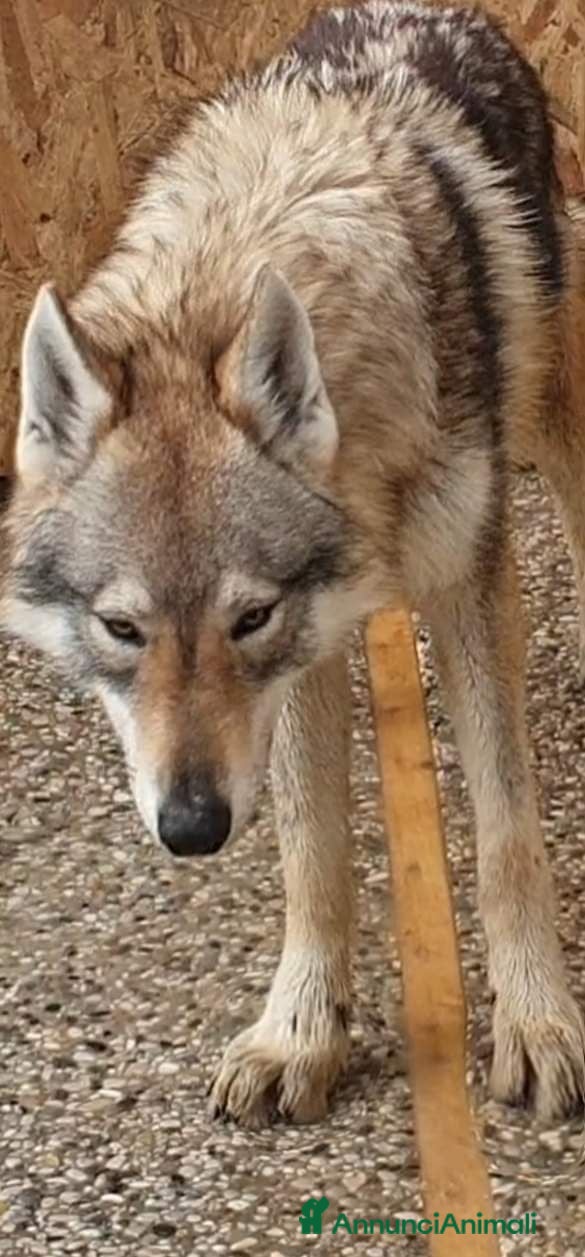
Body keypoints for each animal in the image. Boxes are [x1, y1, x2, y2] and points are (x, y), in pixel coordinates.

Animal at [3, 0, 585, 1127]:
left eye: (246, 619)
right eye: (121, 629)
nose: (190, 827)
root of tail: (426, 10)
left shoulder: (465, 584)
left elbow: (507, 836)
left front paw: (539, 1025)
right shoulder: (304, 660)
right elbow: (312, 850)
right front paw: (302, 1032)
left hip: (552, 415)